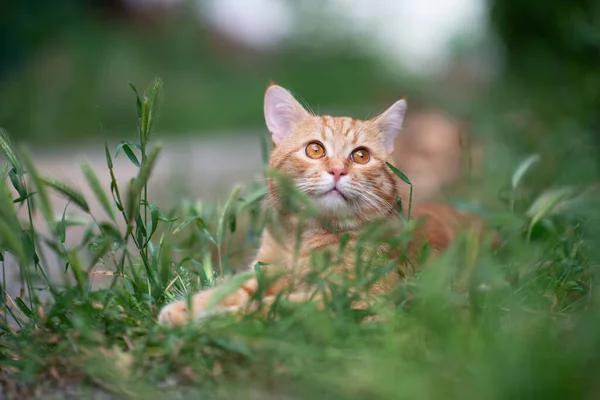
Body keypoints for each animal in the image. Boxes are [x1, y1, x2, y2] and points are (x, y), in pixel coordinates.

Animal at [157, 86, 494, 326]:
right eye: (315, 150)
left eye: (360, 155)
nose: (337, 170)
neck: (306, 239)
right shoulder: (267, 271)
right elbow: (230, 290)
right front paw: (186, 309)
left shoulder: (351, 298)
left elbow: (269, 308)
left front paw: (214, 320)